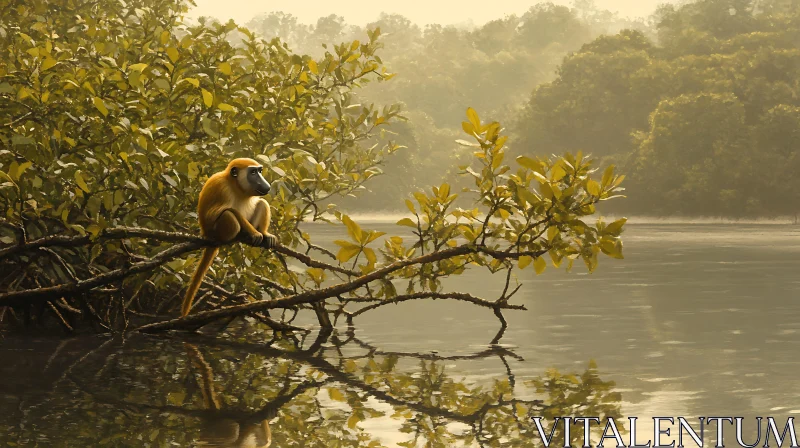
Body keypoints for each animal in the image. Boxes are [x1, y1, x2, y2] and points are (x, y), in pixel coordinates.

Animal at [181, 159, 278, 316]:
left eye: (259, 171)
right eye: (253, 172)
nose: (265, 183)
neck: (235, 185)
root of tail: (207, 235)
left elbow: (259, 203)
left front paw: (262, 233)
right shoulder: (222, 188)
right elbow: (223, 212)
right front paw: (254, 232)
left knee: (261, 203)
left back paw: (259, 232)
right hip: (216, 231)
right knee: (228, 215)